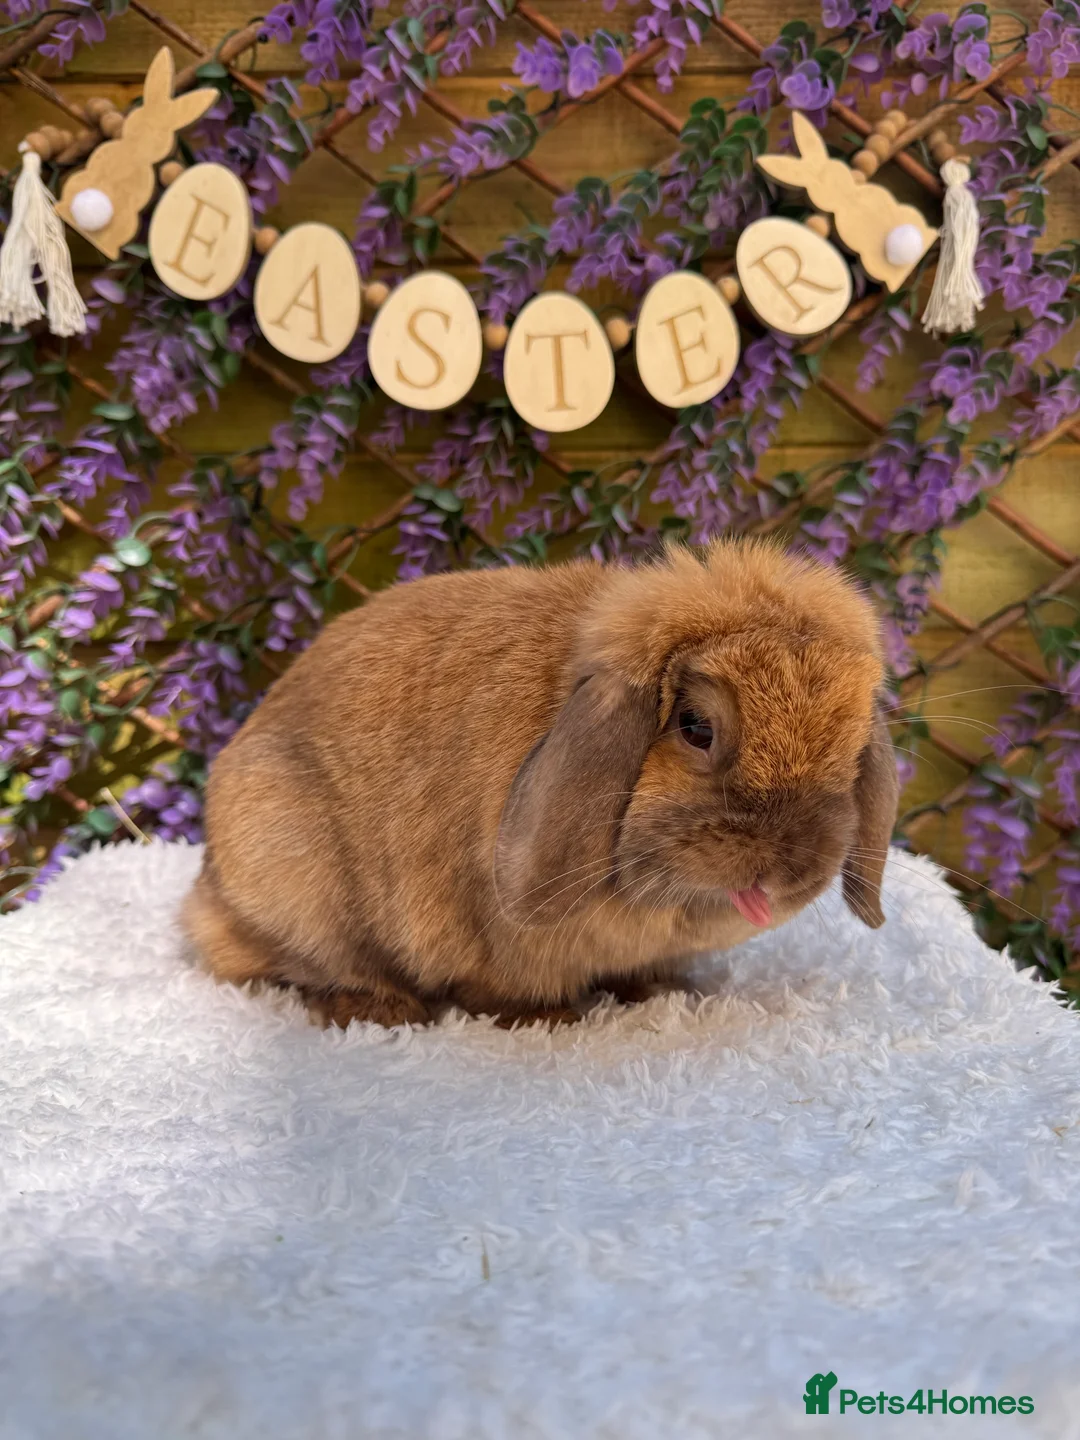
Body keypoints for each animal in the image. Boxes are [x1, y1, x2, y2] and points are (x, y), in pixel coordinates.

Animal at [183, 540, 900, 1028]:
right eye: (696, 726)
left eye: (851, 748)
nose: (789, 866)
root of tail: (207, 899)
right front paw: (549, 1019)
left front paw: (664, 994)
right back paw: (381, 1009)